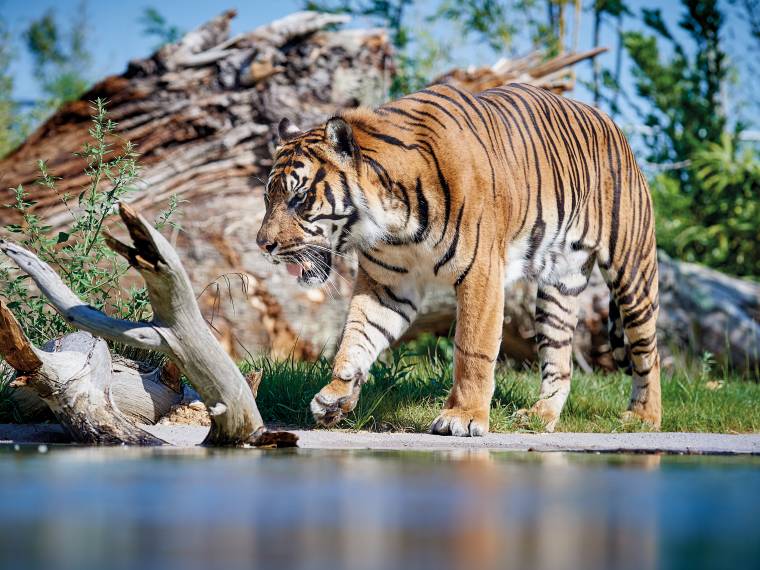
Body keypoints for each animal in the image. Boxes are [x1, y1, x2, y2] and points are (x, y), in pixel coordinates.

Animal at [256, 82, 661, 436]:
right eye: (267, 197)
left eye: (299, 198)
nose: (263, 244)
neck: (393, 222)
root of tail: (612, 125)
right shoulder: (388, 285)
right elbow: (357, 336)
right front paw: (336, 396)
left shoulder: (482, 274)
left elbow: (472, 349)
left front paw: (463, 418)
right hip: (558, 290)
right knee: (560, 361)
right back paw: (539, 416)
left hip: (632, 272)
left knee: (648, 350)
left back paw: (644, 416)